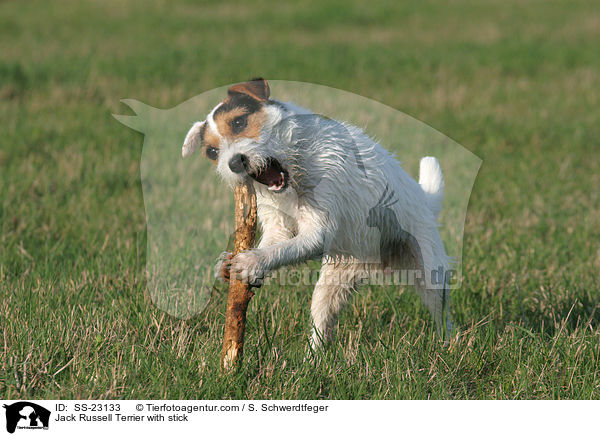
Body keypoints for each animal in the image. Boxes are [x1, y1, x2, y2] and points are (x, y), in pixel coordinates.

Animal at [182, 79, 450, 348]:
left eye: (239, 122)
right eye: (212, 152)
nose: (234, 163)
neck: (295, 165)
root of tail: (425, 199)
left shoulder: (319, 229)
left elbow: (283, 248)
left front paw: (252, 262)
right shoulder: (278, 225)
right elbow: (274, 242)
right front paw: (231, 263)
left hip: (429, 269)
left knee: (442, 313)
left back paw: (447, 344)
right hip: (334, 280)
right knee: (322, 321)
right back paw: (313, 356)